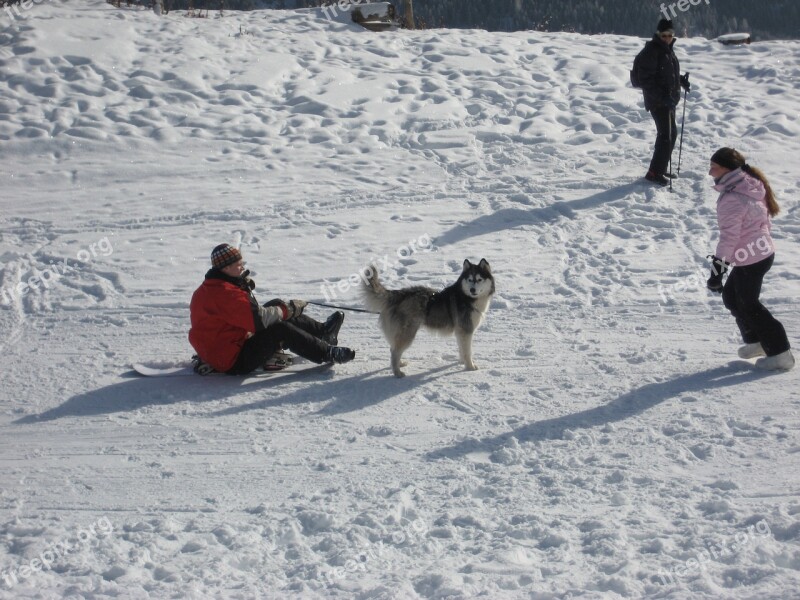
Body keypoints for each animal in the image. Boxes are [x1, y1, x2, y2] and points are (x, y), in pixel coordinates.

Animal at [360, 256, 494, 376]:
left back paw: (400, 363)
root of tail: (399, 294)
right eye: (470, 279)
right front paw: (470, 367)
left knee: (394, 348)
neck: (468, 298)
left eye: (479, 279)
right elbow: (468, 351)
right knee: (395, 351)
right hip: (408, 333)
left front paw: (462, 362)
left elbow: (462, 349)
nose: (472, 290)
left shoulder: (461, 331)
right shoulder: (466, 330)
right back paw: (397, 372)